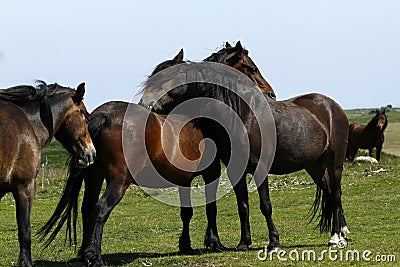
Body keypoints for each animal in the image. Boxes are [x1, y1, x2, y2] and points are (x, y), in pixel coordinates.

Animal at [140, 42, 350, 253]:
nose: (145, 104)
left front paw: (274, 242)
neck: (242, 118)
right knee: (330, 192)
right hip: (314, 166)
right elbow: (242, 205)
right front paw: (243, 242)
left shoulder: (260, 168)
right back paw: (340, 233)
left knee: (336, 193)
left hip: (334, 163)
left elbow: (265, 205)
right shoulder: (236, 171)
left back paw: (336, 237)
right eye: (252, 69)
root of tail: (332, 106)